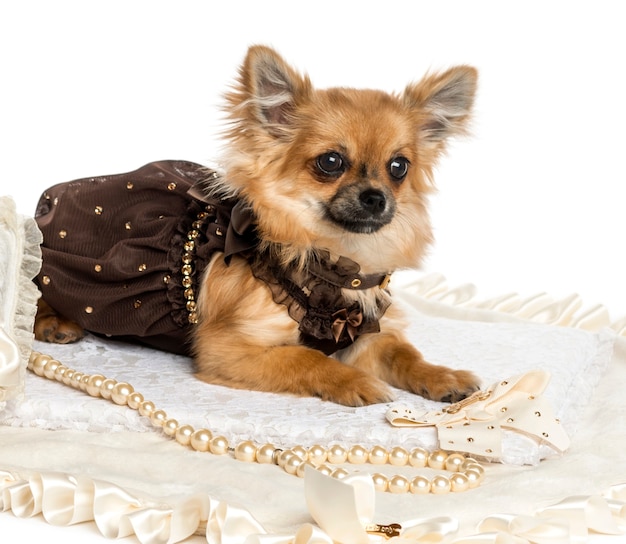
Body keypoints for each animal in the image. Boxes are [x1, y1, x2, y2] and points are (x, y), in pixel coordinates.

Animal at [33, 44, 478, 406]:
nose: (376, 197)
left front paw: (444, 376)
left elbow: (404, 353)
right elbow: (304, 356)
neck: (333, 263)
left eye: (399, 167)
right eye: (330, 162)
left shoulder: (365, 337)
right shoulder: (225, 349)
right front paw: (354, 382)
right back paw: (54, 323)